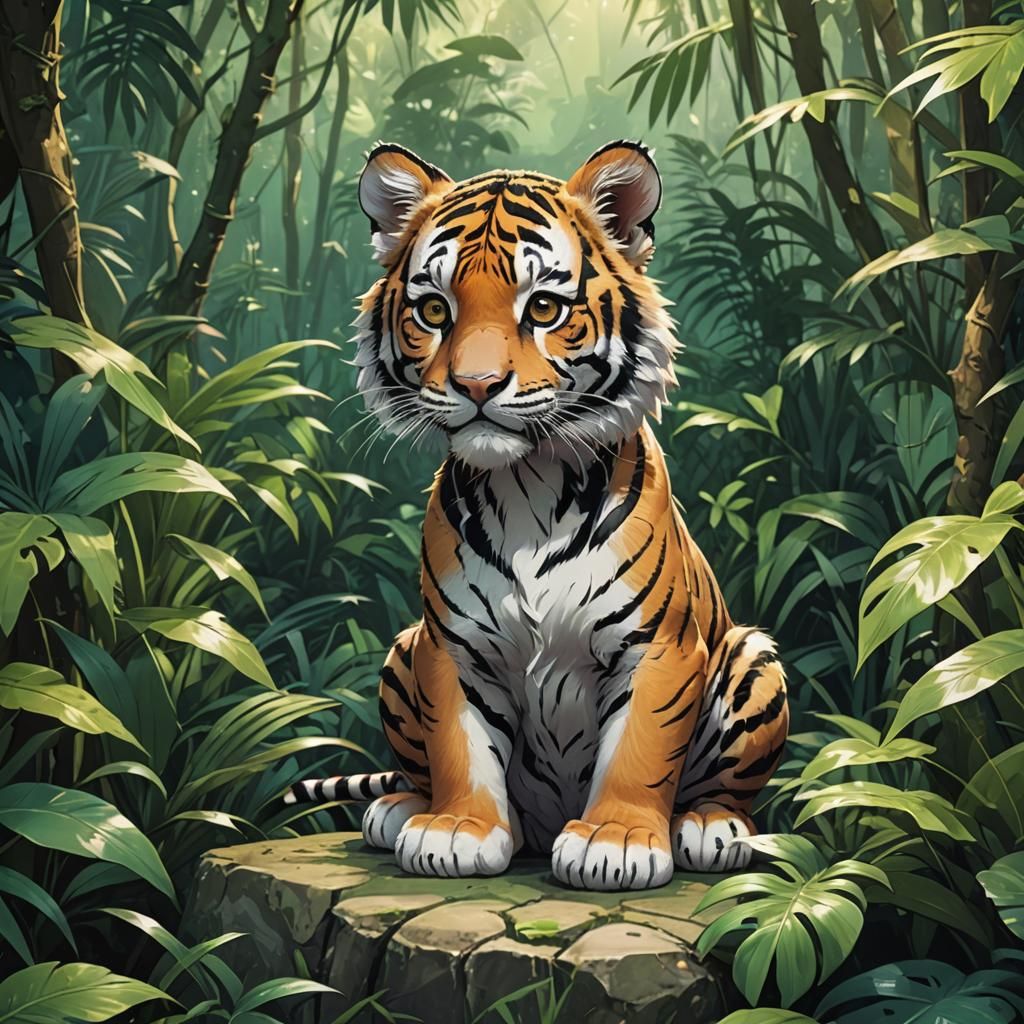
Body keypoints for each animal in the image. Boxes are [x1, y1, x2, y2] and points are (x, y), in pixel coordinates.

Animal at [286, 140, 789, 890]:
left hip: (753, 657)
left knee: (724, 789)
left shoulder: (657, 648)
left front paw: (617, 841)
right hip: (401, 648)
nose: (476, 386)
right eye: (433, 310)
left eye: (545, 307)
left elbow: (641, 747)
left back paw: (710, 826)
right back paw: (401, 810)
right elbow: (459, 744)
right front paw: (457, 830)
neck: (525, 483)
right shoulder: (449, 647)